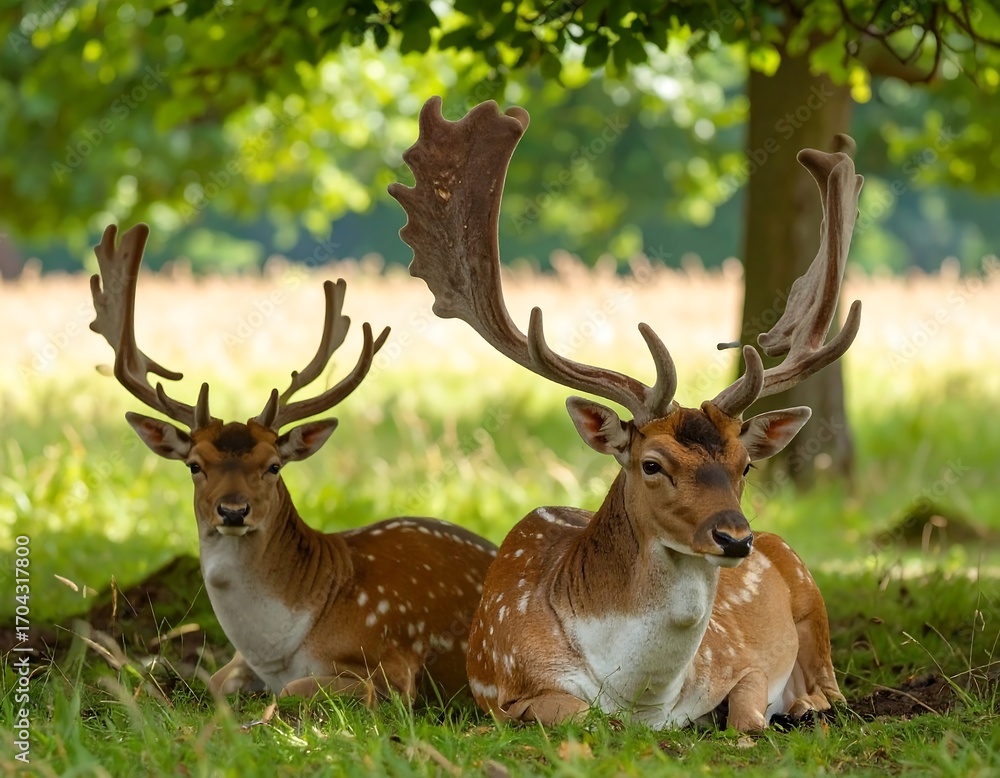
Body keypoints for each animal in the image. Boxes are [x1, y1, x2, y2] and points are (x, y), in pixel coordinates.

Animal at [89, 223, 498, 704]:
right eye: (194, 464)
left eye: (273, 466)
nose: (233, 510)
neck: (274, 650)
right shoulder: (240, 664)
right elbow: (213, 682)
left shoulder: (393, 668)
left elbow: (293, 690)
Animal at [389, 96, 861, 731]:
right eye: (652, 464)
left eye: (746, 465)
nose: (734, 536)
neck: (643, 697)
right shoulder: (503, 690)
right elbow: (579, 714)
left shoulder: (736, 660)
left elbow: (748, 714)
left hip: (810, 589)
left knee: (833, 684)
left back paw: (810, 702)